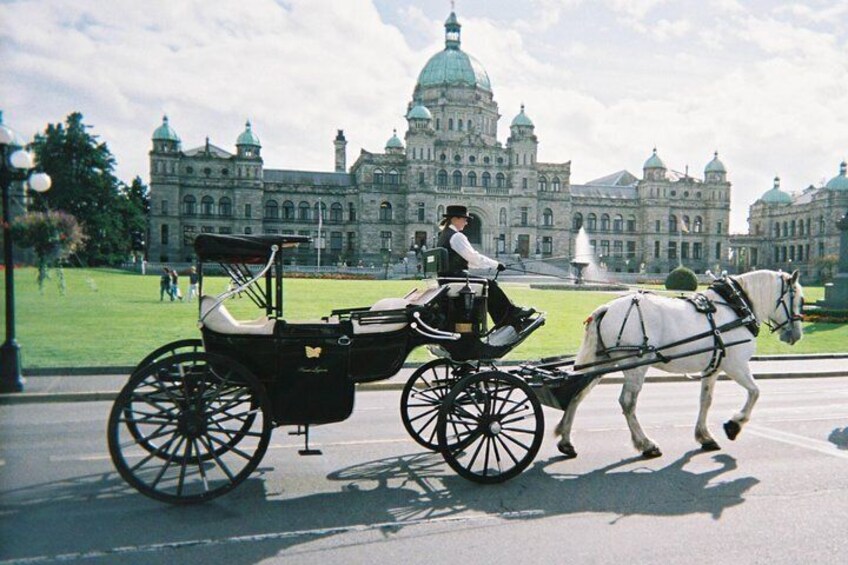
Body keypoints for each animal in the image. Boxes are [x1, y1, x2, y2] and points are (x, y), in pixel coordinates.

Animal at [552, 268, 804, 458]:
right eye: (799, 300)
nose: (796, 335)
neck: (736, 306)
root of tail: (606, 308)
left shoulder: (713, 368)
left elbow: (706, 400)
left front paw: (704, 436)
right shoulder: (736, 365)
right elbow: (755, 392)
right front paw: (734, 424)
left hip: (599, 364)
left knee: (577, 393)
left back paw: (566, 440)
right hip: (636, 365)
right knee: (627, 403)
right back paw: (646, 444)